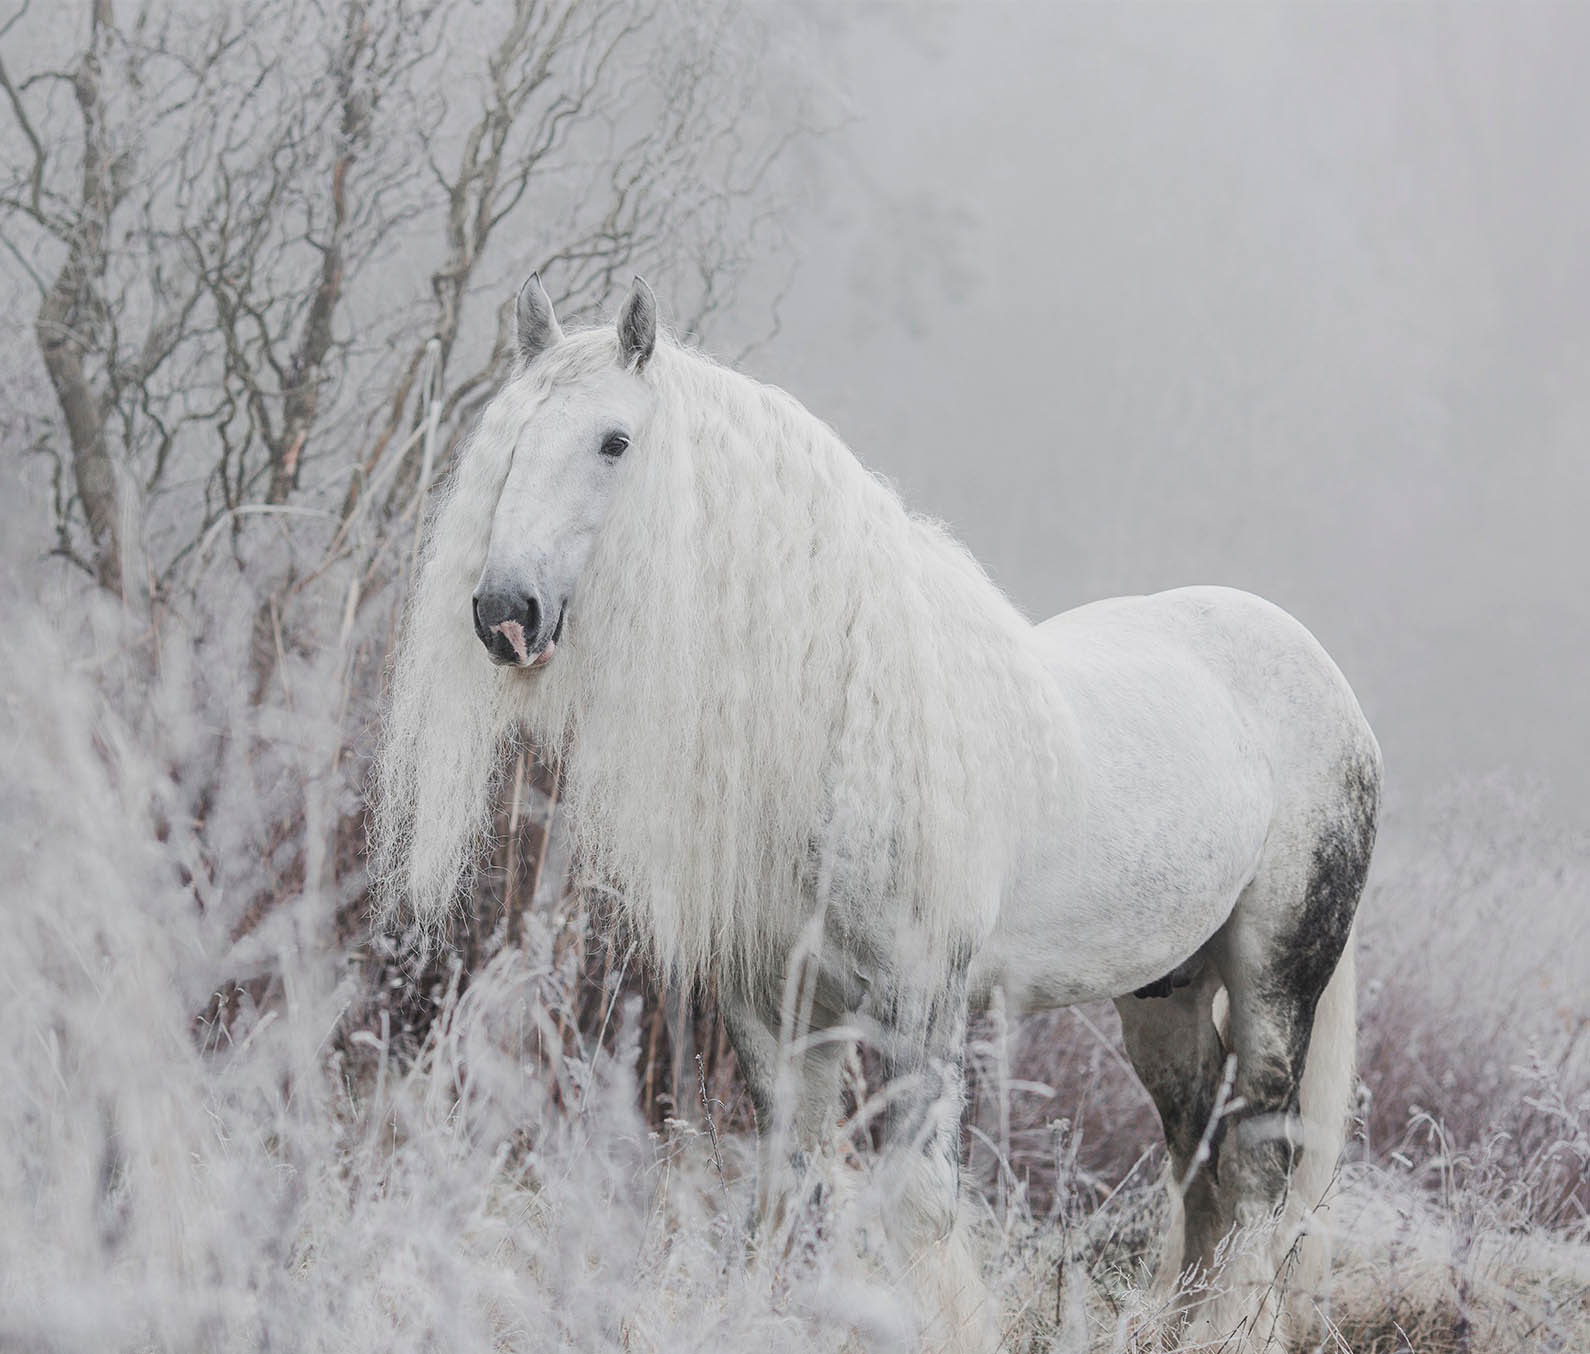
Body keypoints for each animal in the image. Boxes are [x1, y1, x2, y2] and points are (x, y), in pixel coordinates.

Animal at [372, 274, 1380, 1341]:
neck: (837, 724)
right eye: (510, 439)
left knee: (1260, 1154)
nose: (504, 615)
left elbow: (920, 1205)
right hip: (1166, 990)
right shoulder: (774, 1005)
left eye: (615, 441)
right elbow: (789, 1183)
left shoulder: (917, 1004)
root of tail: (1317, 670)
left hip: (1278, 973)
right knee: (1197, 1145)